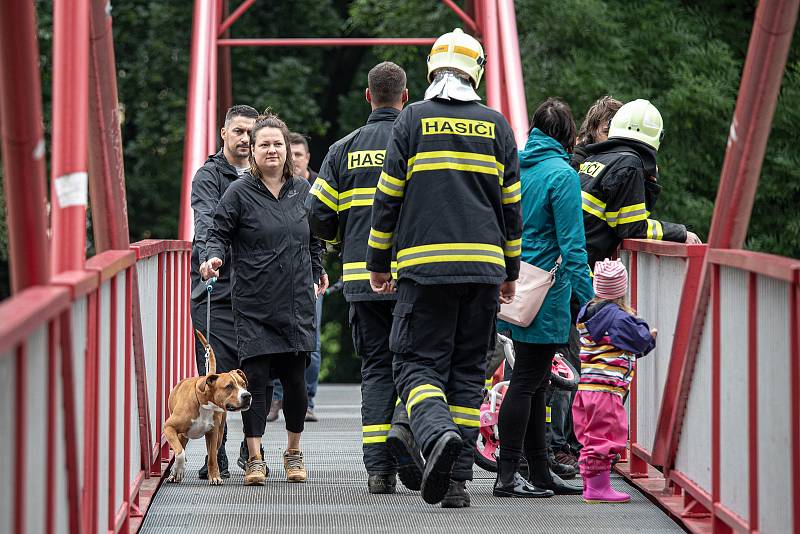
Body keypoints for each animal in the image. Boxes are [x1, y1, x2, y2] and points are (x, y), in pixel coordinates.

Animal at [163, 330, 248, 486]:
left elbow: (212, 457)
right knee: (181, 447)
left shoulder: (213, 434)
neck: (205, 404)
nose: (247, 395)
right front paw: (178, 469)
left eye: (243, 384)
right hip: (181, 434)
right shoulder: (169, 427)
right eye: (229, 386)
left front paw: (214, 476)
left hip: (219, 434)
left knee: (213, 451)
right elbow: (179, 452)